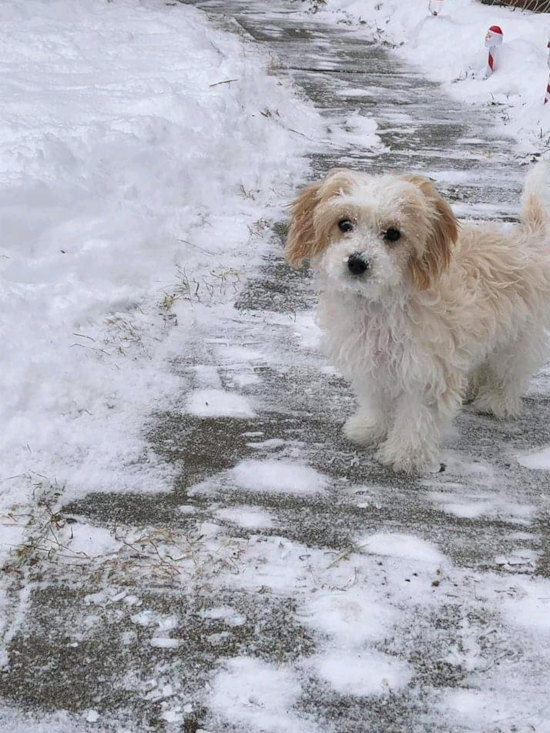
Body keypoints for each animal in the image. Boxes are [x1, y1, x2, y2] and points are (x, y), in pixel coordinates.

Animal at [286, 164, 550, 474]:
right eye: (344, 224)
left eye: (393, 234)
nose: (357, 262)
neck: (381, 302)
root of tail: (528, 239)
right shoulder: (372, 360)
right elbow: (376, 400)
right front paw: (371, 428)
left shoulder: (426, 369)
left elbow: (418, 416)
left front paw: (405, 454)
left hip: (518, 337)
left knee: (512, 371)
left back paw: (497, 400)